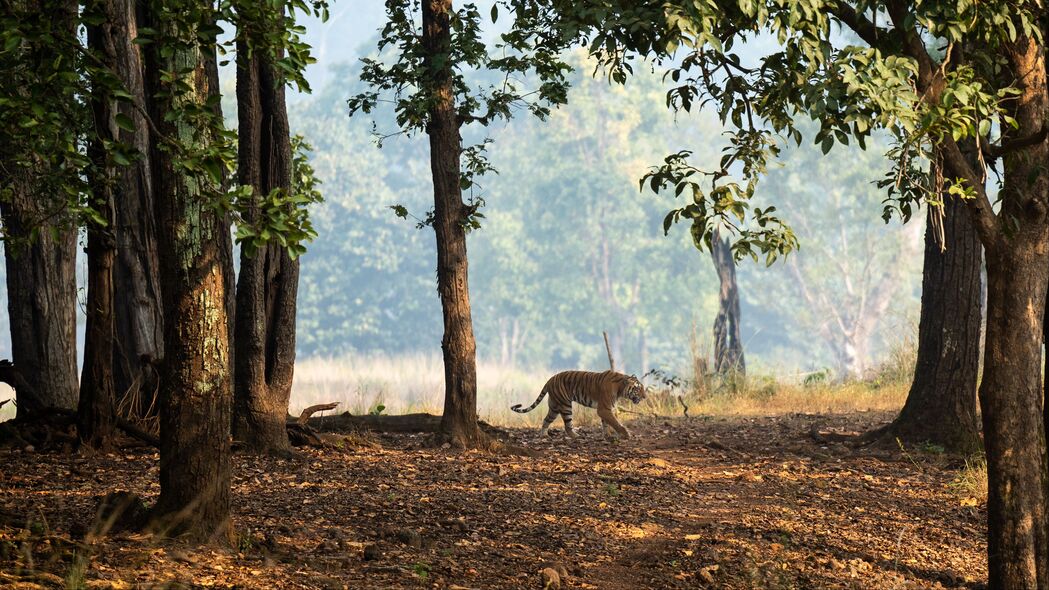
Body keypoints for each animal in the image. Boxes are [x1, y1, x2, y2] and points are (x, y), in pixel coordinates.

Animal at [509, 369, 641, 438]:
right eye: (638, 389)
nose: (644, 397)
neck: (620, 388)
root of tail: (550, 379)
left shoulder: (606, 409)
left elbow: (606, 423)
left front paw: (607, 435)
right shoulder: (603, 408)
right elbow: (615, 422)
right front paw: (626, 434)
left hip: (554, 407)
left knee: (546, 420)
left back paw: (544, 435)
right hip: (565, 405)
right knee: (567, 426)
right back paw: (576, 436)